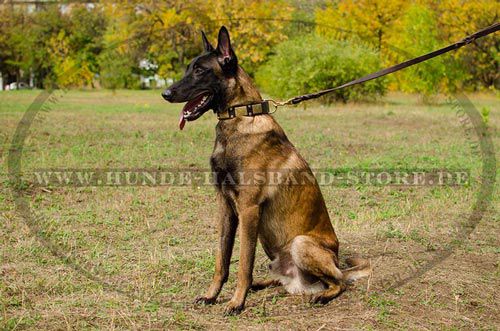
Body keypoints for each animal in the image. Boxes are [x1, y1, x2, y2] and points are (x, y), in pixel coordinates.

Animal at [162, 26, 370, 316]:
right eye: (188, 69)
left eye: (200, 71)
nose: (166, 94)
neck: (239, 116)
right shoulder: (225, 207)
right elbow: (222, 261)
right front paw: (212, 295)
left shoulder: (248, 209)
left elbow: (243, 264)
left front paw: (236, 302)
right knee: (284, 280)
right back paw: (263, 284)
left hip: (301, 243)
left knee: (339, 282)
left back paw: (322, 295)